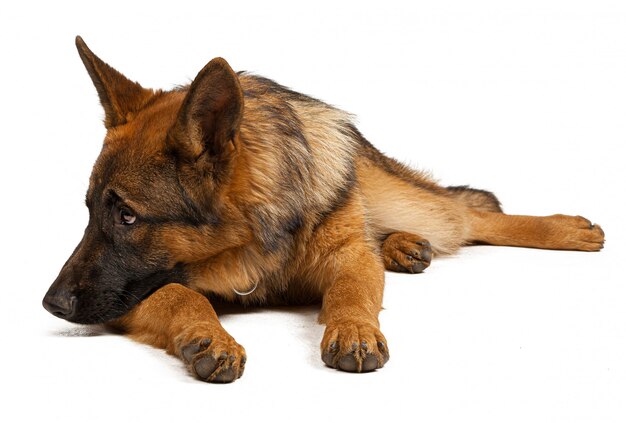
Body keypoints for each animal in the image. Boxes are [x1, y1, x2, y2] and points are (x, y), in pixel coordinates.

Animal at [41, 37, 604, 384]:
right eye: (90, 211)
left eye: (128, 217)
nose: (52, 304)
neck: (254, 238)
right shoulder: (133, 297)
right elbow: (181, 294)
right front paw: (208, 335)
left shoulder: (346, 256)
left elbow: (351, 288)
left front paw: (353, 328)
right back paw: (401, 247)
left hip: (409, 202)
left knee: (470, 214)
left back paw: (565, 230)